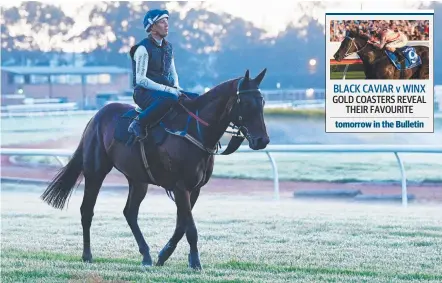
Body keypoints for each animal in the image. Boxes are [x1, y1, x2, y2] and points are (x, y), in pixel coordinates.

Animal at [39, 68, 270, 270]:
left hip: (138, 179)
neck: (194, 131)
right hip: (95, 172)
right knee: (87, 210)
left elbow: (181, 225)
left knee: (130, 212)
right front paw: (195, 263)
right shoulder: (180, 186)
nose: (262, 140)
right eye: (246, 103)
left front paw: (164, 255)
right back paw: (87, 255)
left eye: (262, 102)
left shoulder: (194, 188)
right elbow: (190, 228)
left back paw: (146, 255)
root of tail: (96, 117)